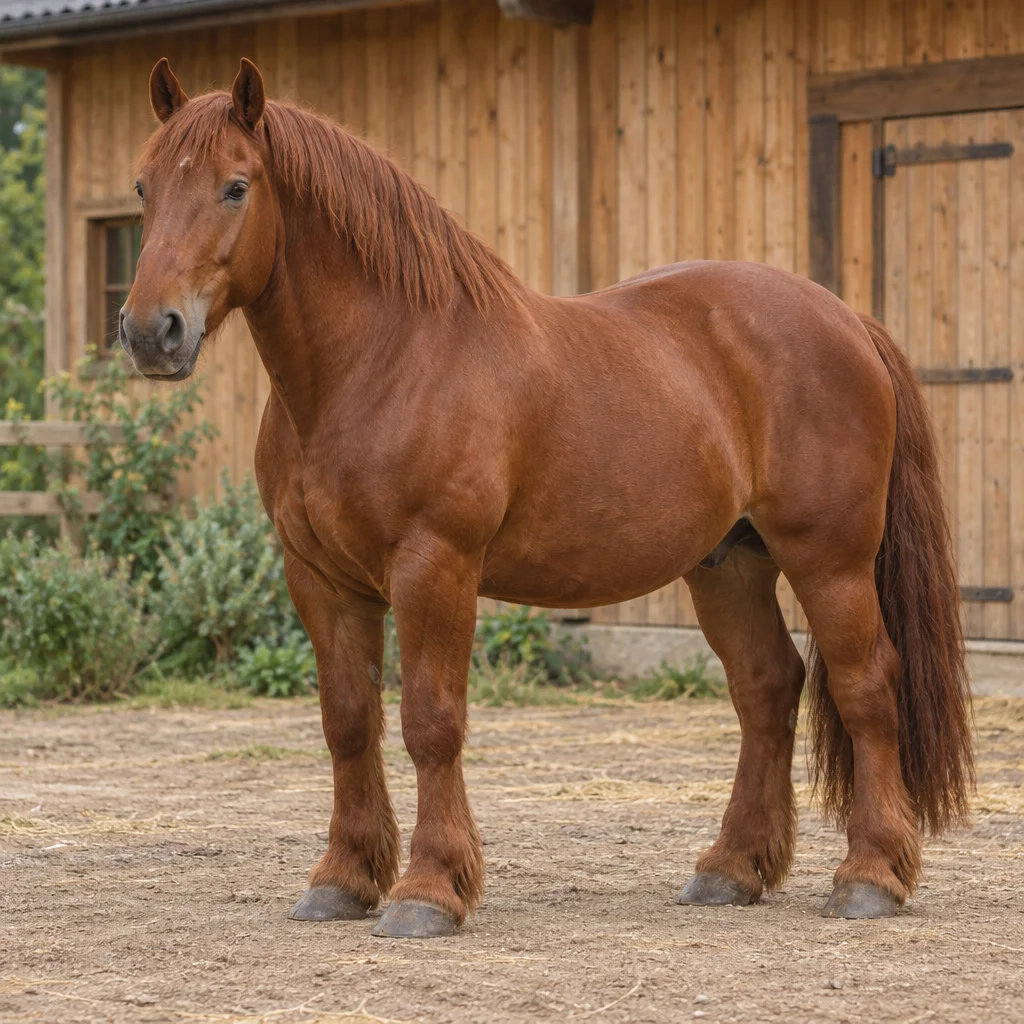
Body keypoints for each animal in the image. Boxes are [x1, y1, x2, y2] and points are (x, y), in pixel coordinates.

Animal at [121, 56, 974, 938]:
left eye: (236, 187)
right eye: (145, 188)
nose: (153, 332)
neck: (380, 359)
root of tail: (845, 318)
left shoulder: (434, 567)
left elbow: (430, 721)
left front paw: (429, 889)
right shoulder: (320, 578)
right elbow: (348, 721)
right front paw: (344, 879)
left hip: (830, 559)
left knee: (866, 687)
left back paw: (870, 876)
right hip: (728, 564)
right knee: (767, 688)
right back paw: (730, 868)